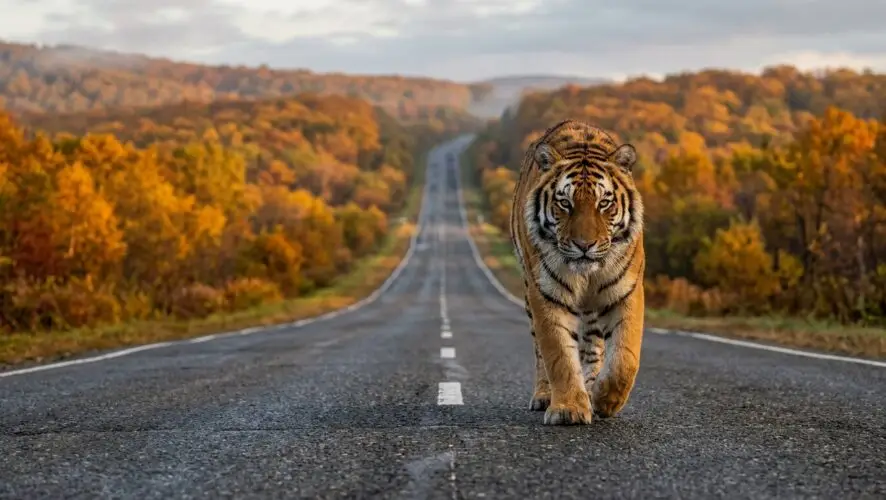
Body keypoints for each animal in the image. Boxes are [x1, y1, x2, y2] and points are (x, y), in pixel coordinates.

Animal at [508, 119, 646, 425]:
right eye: (565, 203)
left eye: (604, 203)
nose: (584, 245)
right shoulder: (547, 294)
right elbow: (558, 354)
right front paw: (568, 409)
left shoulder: (626, 291)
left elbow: (625, 357)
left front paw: (606, 400)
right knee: (540, 352)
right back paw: (546, 395)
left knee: (593, 347)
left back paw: (592, 389)